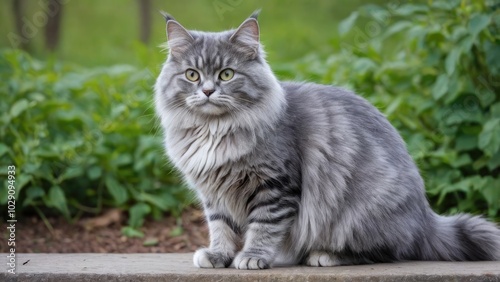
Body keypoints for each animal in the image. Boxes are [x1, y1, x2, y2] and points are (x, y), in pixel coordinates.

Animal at [153, 12, 500, 270]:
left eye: (226, 74)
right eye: (192, 75)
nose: (208, 91)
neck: (215, 130)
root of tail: (425, 218)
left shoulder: (275, 186)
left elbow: (263, 227)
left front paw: (251, 257)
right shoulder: (215, 194)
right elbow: (222, 228)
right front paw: (219, 256)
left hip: (359, 214)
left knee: (386, 252)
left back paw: (324, 256)